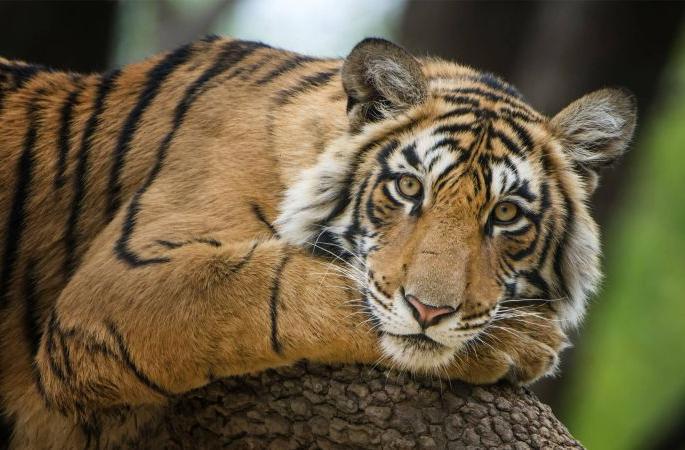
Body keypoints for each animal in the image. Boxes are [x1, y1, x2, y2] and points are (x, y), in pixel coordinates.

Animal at [0, 35, 636, 449]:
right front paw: (520, 340)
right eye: (409, 187)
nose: (430, 310)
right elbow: (281, 286)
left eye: (505, 214)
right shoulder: (117, 283)